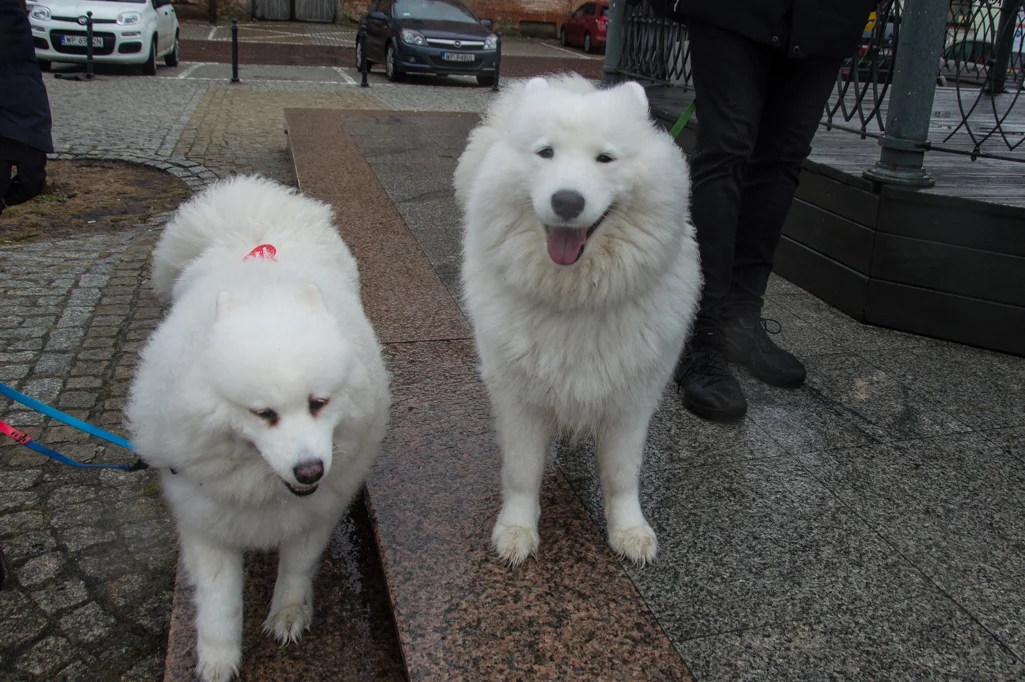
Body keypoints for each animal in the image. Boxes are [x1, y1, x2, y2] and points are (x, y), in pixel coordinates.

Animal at [124, 175, 387, 680]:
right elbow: (219, 599)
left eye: (319, 403)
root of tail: (252, 214)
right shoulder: (205, 517)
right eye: (263, 414)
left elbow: (297, 567)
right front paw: (217, 659)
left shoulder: (317, 509)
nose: (310, 470)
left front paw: (288, 615)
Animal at [455, 73, 701, 562]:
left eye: (605, 158)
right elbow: (522, 472)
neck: (576, 300)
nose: (567, 201)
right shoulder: (519, 400)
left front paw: (629, 531)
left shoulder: (631, 401)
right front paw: (517, 530)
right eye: (545, 153)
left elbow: (623, 476)